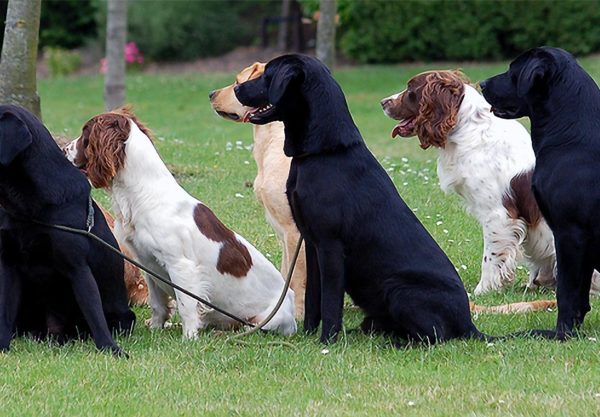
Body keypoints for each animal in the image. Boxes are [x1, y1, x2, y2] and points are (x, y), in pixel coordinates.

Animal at [0, 105, 135, 354]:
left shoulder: (77, 267)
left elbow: (94, 314)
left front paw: (110, 349)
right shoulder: (9, 264)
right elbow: (5, 312)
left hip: (122, 317)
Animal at [64, 108, 296, 338]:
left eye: (85, 134)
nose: (65, 149)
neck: (144, 195)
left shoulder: (180, 266)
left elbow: (186, 306)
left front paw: (189, 338)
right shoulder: (147, 263)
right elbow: (157, 304)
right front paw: (156, 328)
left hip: (272, 320)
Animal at [232, 53, 486, 342]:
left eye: (267, 75)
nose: (237, 89)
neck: (324, 153)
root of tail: (468, 323)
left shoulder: (331, 246)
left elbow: (330, 302)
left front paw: (326, 341)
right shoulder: (312, 244)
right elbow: (312, 299)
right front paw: (308, 334)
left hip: (398, 288)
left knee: (434, 337)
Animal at [480, 46, 600, 338]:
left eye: (513, 70)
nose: (482, 83)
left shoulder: (570, 233)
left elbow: (566, 290)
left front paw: (562, 333)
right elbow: (580, 295)